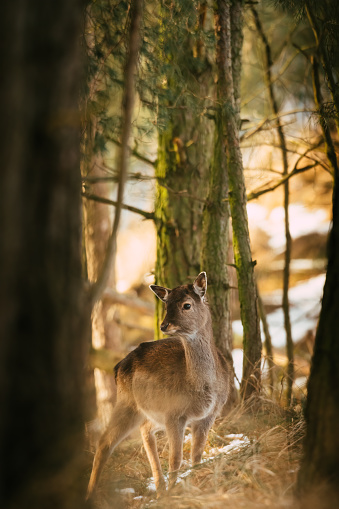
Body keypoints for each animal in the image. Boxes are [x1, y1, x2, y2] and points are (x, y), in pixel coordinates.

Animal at [86, 272, 232, 498]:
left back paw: (159, 487)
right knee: (105, 442)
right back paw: (90, 494)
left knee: (145, 430)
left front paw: (191, 487)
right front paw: (174, 494)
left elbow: (196, 456)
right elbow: (175, 459)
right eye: (166, 305)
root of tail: (118, 366)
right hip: (128, 403)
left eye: (187, 305)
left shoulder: (209, 415)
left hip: (151, 411)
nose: (164, 325)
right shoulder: (174, 414)